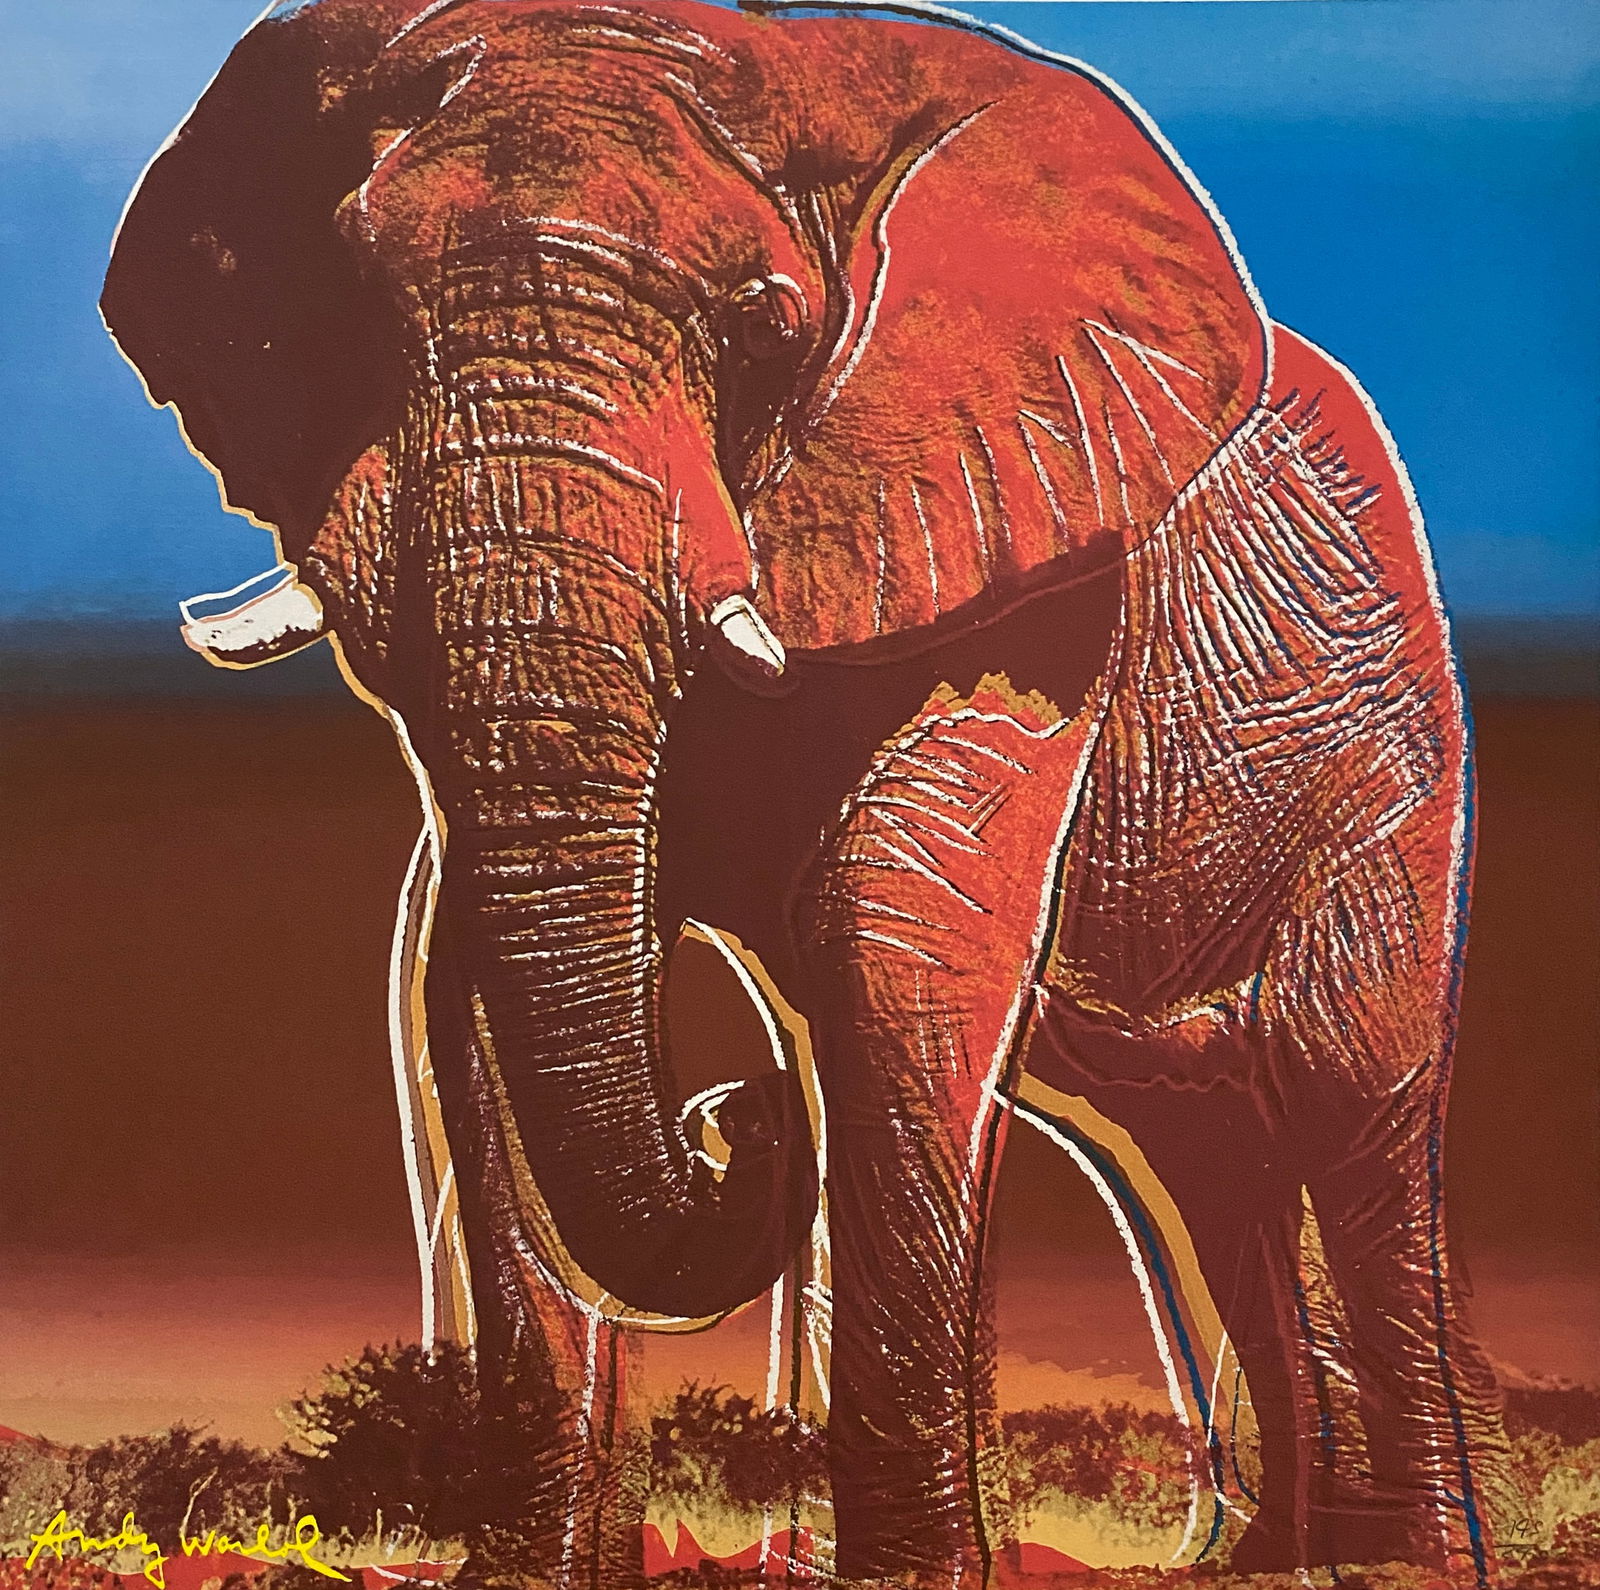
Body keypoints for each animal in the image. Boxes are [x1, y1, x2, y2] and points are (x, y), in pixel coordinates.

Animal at [101, 0, 1510, 1583]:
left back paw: (1406, 1561)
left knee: (1346, 1097)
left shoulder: (1027, 557)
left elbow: (892, 944)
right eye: (353, 312)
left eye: (763, 328)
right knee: (1215, 1163)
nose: (738, 1112)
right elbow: (460, 974)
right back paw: (1274, 1559)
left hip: (1387, 745)